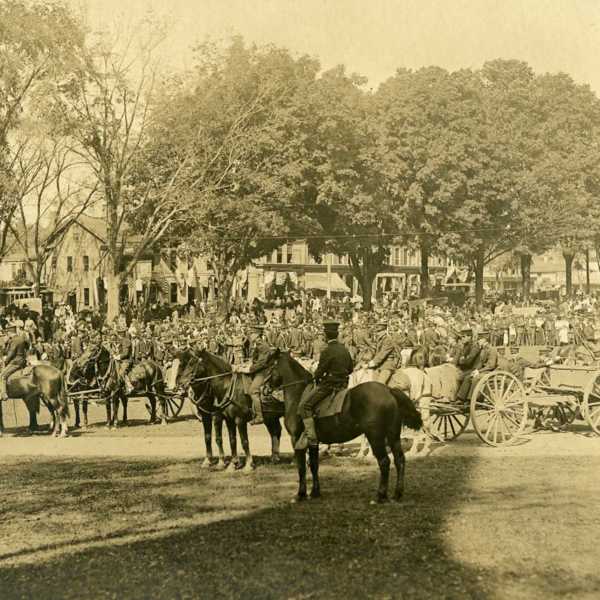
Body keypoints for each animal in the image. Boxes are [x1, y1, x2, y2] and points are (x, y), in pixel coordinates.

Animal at [178, 346, 284, 474]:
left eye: (192, 363)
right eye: (181, 364)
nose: (181, 383)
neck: (227, 387)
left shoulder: (234, 419)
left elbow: (242, 441)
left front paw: (247, 465)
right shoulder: (224, 419)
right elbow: (228, 440)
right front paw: (231, 464)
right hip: (271, 417)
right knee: (275, 431)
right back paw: (275, 457)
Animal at [268, 350, 422, 504]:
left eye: (269, 366)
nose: (266, 389)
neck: (299, 395)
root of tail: (389, 390)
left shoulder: (296, 440)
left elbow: (301, 467)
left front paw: (301, 494)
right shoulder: (313, 442)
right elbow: (314, 465)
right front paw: (315, 492)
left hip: (375, 437)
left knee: (384, 462)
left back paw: (380, 496)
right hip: (393, 435)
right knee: (399, 460)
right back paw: (397, 494)